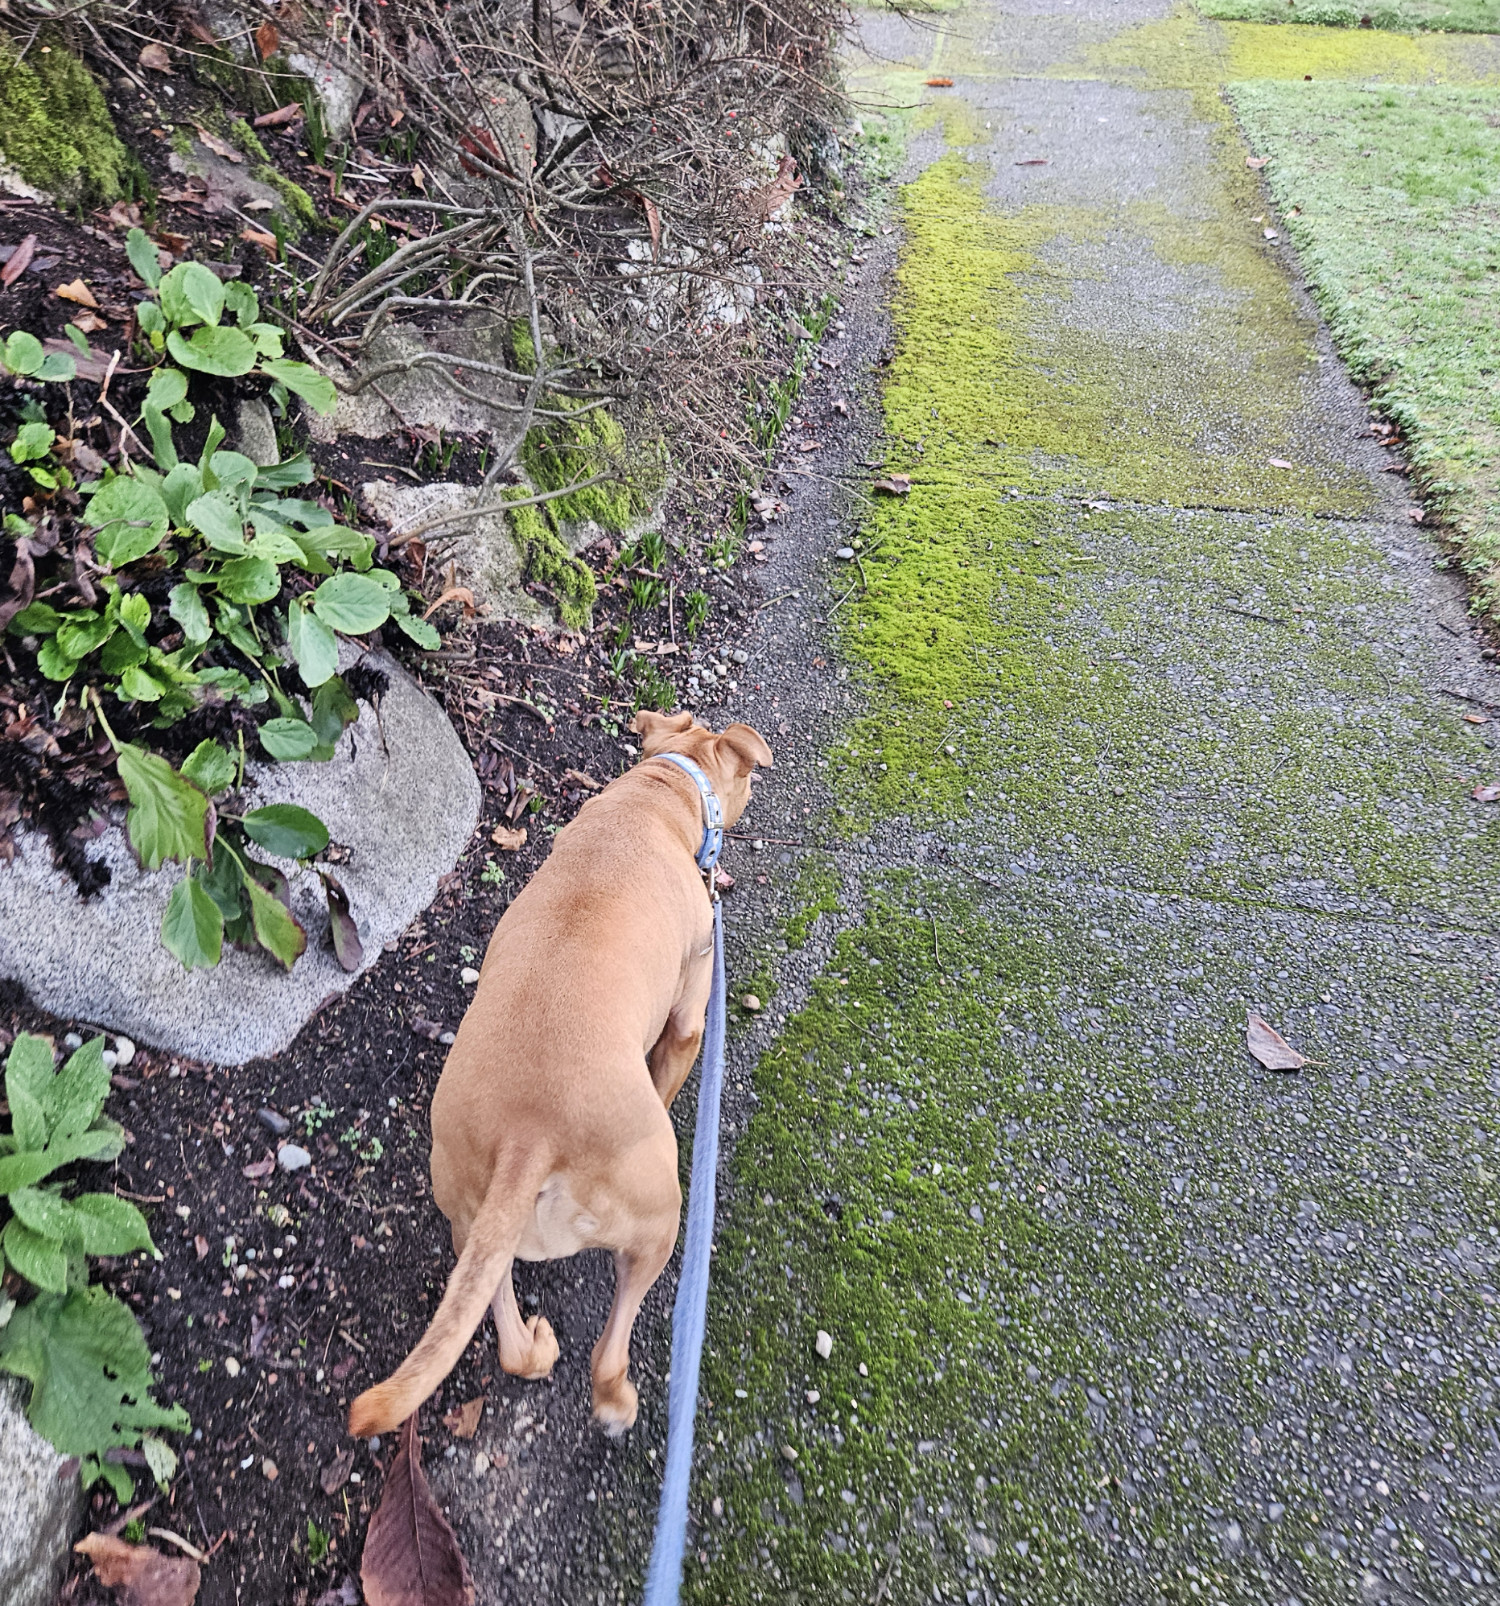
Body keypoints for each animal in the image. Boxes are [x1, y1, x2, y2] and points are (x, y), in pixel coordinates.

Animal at [350, 709, 774, 1438]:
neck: (663, 792)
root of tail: (531, 1136)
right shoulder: (689, 1014)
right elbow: (669, 1071)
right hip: (658, 1221)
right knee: (610, 1346)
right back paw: (615, 1402)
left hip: (476, 1222)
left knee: (501, 1326)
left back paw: (536, 1347)